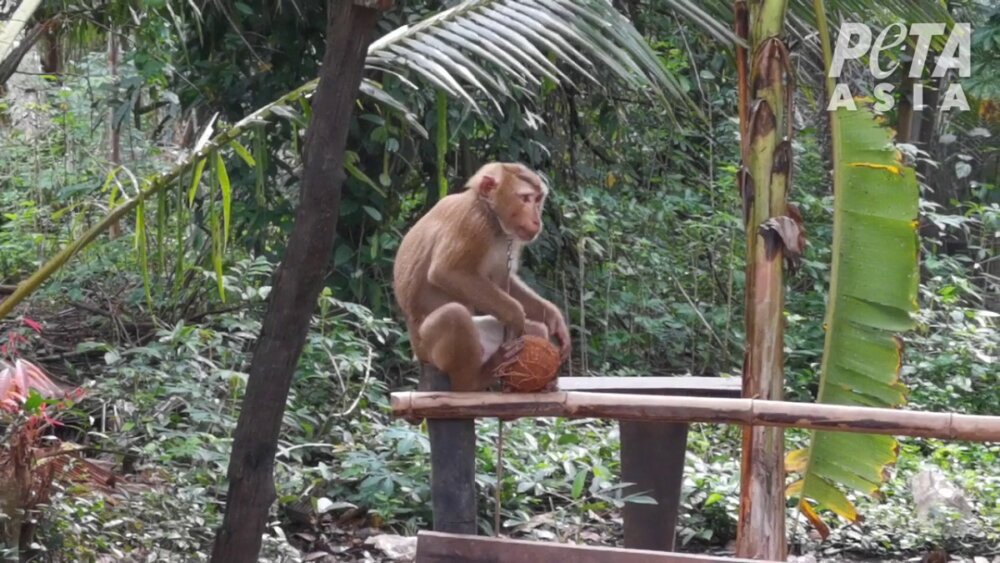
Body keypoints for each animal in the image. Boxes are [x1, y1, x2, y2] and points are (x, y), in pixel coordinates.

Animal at [393, 162, 571, 392]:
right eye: (525, 198)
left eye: (538, 199)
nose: (536, 219)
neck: (491, 215)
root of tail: (416, 352)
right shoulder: (473, 223)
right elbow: (446, 272)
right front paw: (515, 314)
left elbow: (502, 281)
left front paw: (553, 317)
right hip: (428, 350)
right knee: (454, 315)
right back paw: (476, 378)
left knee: (533, 329)